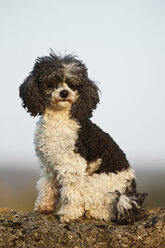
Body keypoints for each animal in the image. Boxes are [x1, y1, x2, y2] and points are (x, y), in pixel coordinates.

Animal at [19, 51, 146, 224]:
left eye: (73, 85)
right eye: (52, 82)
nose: (64, 93)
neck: (58, 120)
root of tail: (129, 192)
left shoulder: (72, 164)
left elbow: (71, 192)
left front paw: (69, 213)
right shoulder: (49, 163)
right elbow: (48, 186)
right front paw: (44, 206)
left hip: (96, 184)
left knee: (103, 207)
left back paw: (97, 213)